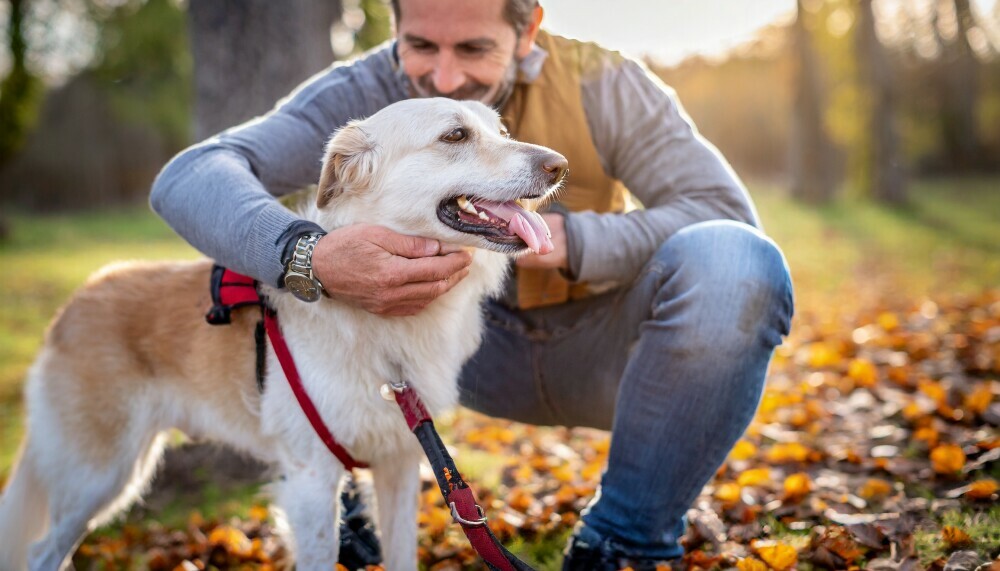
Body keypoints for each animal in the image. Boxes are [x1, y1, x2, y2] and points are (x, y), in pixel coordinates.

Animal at [0, 99, 568, 571]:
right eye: (454, 135)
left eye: (501, 130)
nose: (559, 165)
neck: (382, 325)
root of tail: (76, 301)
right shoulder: (312, 479)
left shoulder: (400, 464)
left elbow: (402, 554)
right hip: (98, 473)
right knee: (41, 550)